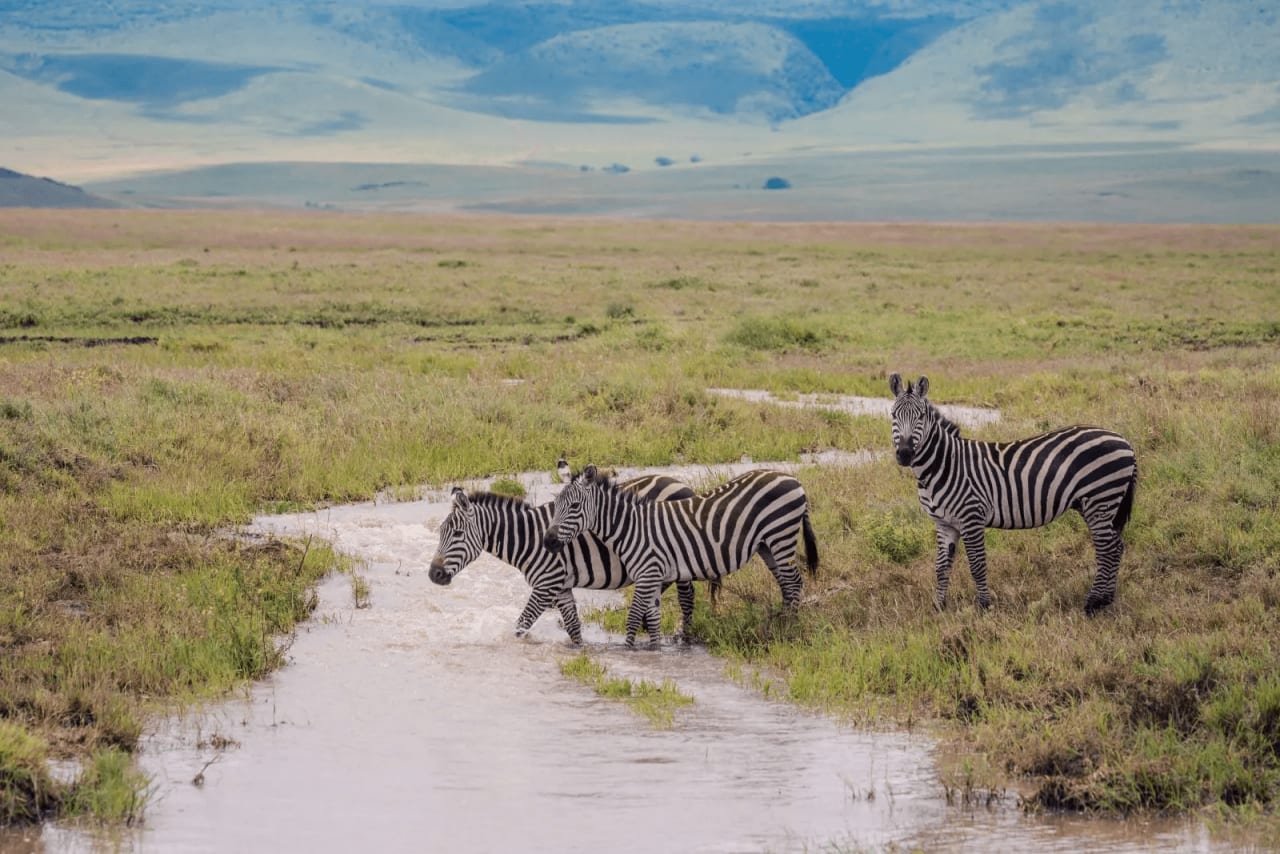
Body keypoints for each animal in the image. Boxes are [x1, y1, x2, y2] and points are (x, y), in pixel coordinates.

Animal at [424, 471, 696, 645]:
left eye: (457, 534)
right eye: (441, 532)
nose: (433, 575)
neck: (528, 538)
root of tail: (684, 486)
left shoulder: (546, 584)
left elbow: (521, 624)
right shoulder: (561, 587)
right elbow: (573, 628)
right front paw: (580, 650)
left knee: (686, 597)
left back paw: (683, 638)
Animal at [540, 468, 819, 647]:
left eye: (574, 507)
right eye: (556, 504)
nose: (548, 541)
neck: (631, 527)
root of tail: (793, 479)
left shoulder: (648, 572)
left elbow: (633, 616)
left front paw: (628, 650)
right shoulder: (651, 575)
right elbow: (650, 615)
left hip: (780, 534)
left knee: (794, 582)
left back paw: (790, 628)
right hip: (766, 546)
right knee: (787, 585)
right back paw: (780, 626)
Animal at [890, 373, 1141, 614]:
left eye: (921, 416)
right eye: (893, 415)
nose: (905, 454)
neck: (945, 465)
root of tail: (1123, 440)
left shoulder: (972, 516)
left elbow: (977, 564)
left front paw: (984, 607)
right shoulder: (944, 524)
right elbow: (941, 567)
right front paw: (939, 607)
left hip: (1100, 499)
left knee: (1108, 549)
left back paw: (1093, 603)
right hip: (1097, 504)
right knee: (1115, 547)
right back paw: (1104, 600)